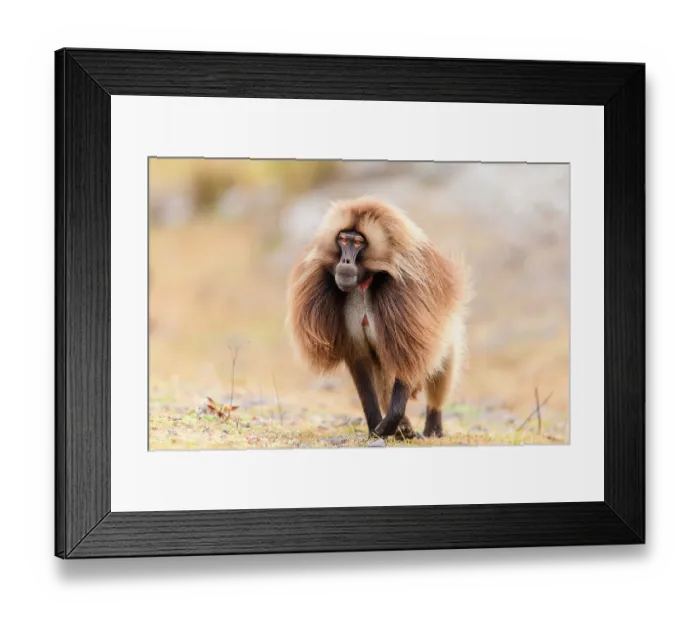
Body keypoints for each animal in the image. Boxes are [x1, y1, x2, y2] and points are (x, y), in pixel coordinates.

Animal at [286, 197, 470, 440]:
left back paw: (432, 426)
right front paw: (377, 427)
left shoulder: (404, 293)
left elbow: (409, 353)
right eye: (343, 239)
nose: (345, 261)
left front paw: (392, 420)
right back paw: (404, 427)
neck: (365, 283)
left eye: (357, 243)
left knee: (442, 359)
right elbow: (360, 363)